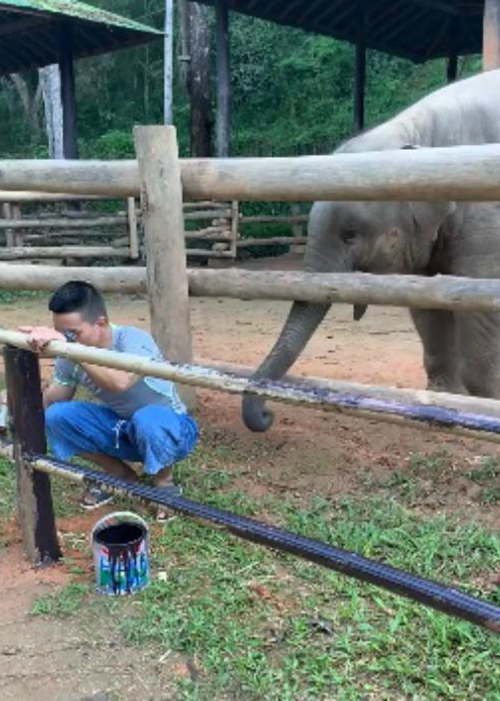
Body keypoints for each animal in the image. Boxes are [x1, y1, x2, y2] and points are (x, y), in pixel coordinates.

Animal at [242, 71, 500, 432]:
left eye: (350, 235)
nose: (267, 415)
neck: (419, 135)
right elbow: (427, 305)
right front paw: (443, 401)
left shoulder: (485, 215)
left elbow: (480, 306)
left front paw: (485, 407)